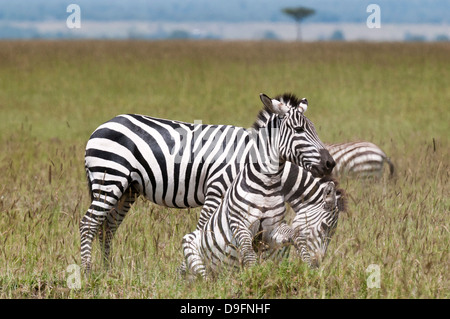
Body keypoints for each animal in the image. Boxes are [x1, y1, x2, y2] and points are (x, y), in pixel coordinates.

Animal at [80, 92, 334, 272]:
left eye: (314, 129)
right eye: (299, 130)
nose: (330, 163)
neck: (250, 157)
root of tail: (102, 126)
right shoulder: (217, 189)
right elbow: (204, 229)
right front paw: (189, 269)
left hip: (127, 189)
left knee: (108, 228)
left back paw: (108, 270)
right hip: (109, 179)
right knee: (88, 224)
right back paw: (88, 272)